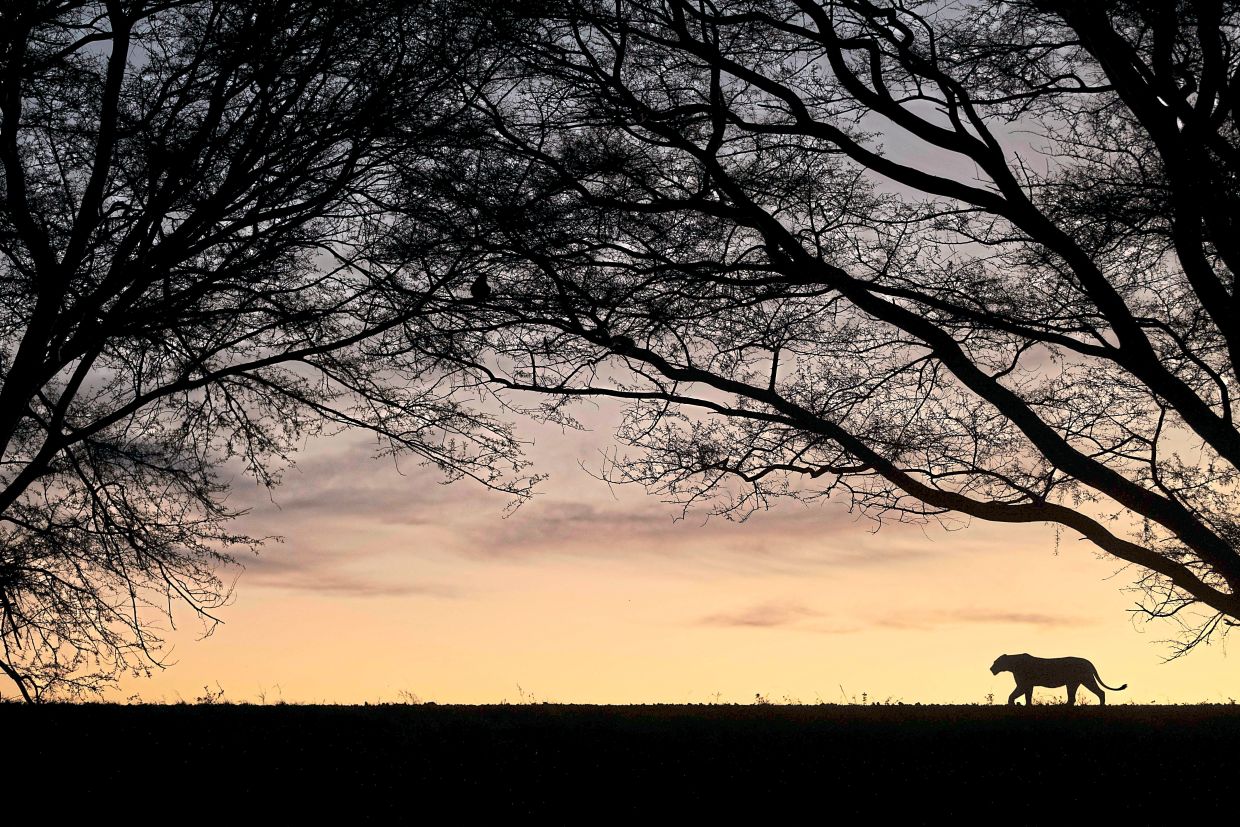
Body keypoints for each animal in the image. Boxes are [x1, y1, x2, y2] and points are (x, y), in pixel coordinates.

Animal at [990, 653, 1127, 706]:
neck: (1012, 664)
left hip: (1086, 679)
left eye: (995, 662)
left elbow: (1012, 695)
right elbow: (1027, 696)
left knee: (1100, 692)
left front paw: (1011, 703)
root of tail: (1088, 661)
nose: (991, 668)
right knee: (1072, 698)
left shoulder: (1023, 684)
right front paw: (1027, 705)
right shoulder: (1028, 685)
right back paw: (1066, 705)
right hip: (1073, 683)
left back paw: (1101, 705)